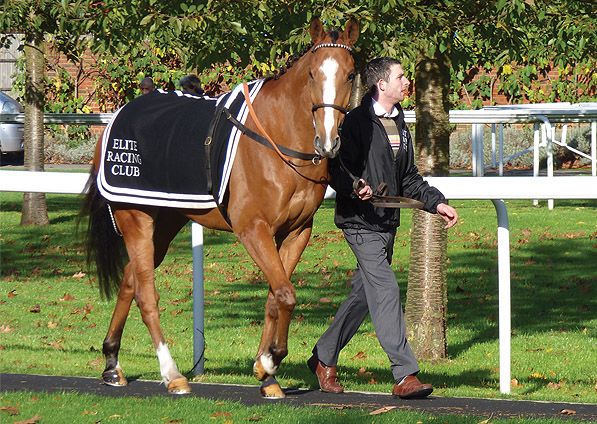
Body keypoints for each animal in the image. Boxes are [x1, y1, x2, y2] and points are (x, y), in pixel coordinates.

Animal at [81, 17, 356, 400]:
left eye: (350, 74)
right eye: (313, 74)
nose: (328, 141)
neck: (276, 140)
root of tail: (119, 117)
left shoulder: (297, 231)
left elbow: (276, 297)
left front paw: (266, 373)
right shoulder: (252, 229)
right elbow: (286, 295)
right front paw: (269, 361)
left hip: (164, 223)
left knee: (128, 281)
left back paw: (111, 363)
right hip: (135, 218)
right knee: (146, 294)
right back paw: (172, 375)